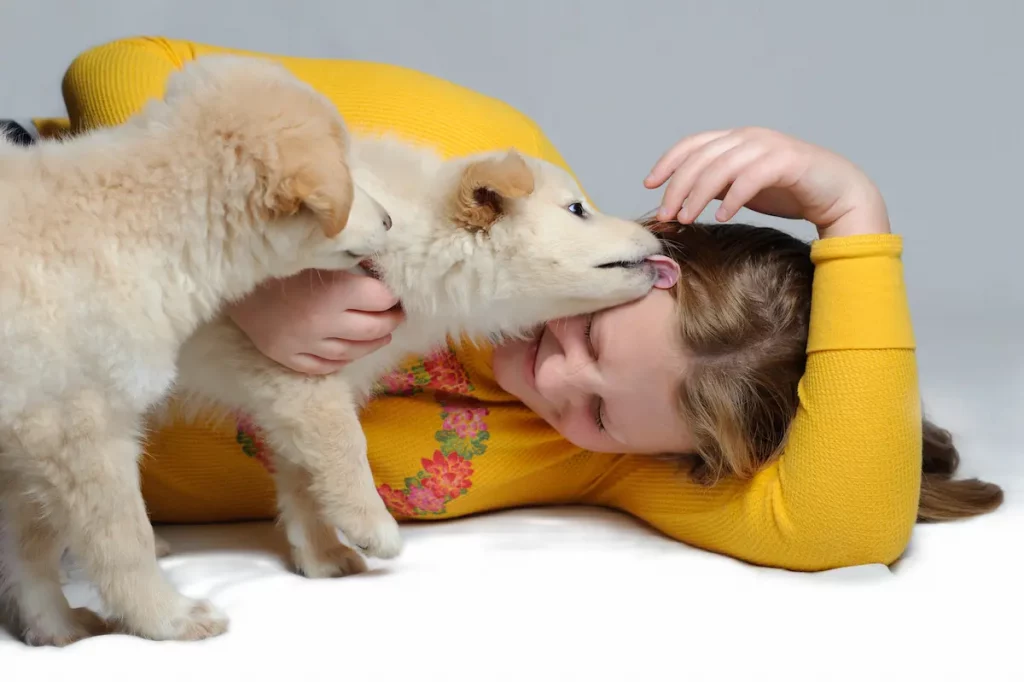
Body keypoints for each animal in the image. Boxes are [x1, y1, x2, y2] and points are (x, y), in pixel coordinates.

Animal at [0, 55, 389, 647]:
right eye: (346, 167)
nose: (389, 221)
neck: (142, 218)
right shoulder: (80, 431)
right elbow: (125, 543)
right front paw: (166, 618)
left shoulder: (30, 445)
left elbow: (30, 553)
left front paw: (56, 631)